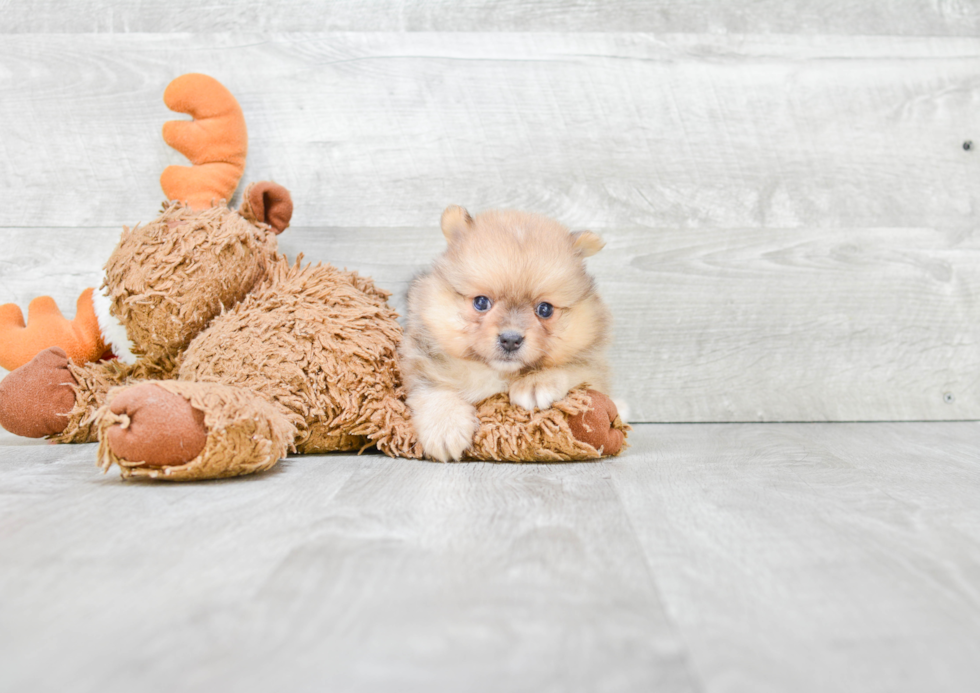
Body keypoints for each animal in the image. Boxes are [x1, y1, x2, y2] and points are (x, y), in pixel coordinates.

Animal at [402, 205, 608, 460]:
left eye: (545, 309)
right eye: (481, 302)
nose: (511, 339)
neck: (497, 373)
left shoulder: (593, 368)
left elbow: (574, 368)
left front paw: (536, 383)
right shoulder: (423, 357)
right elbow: (433, 387)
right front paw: (445, 426)